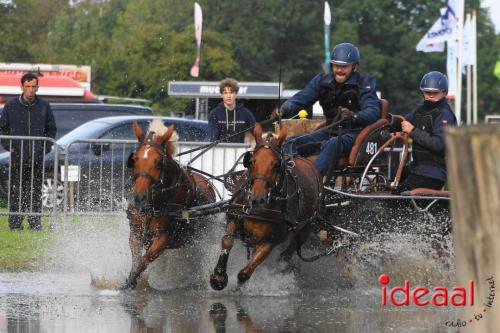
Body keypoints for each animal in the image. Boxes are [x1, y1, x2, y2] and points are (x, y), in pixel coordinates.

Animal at [122, 120, 215, 288]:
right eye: (135, 159)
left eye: (158, 162)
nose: (139, 198)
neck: (153, 205)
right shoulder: (136, 232)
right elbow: (136, 260)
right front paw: (128, 282)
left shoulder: (163, 238)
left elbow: (144, 261)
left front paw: (131, 281)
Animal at [209, 123, 322, 290]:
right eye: (252, 161)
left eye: (276, 165)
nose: (257, 198)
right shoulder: (233, 217)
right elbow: (227, 241)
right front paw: (219, 277)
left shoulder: (270, 242)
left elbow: (244, 273)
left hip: (306, 228)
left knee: (286, 255)